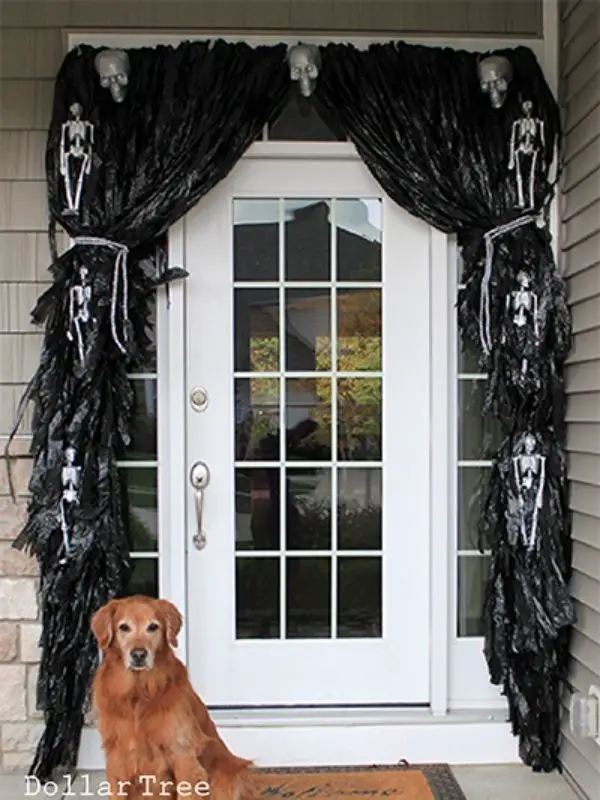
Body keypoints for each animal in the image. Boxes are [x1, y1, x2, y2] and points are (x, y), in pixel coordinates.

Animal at [91, 592, 253, 800]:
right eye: (123, 627)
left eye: (153, 627)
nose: (139, 655)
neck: (138, 692)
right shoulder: (117, 759)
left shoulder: (182, 754)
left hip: (226, 775)